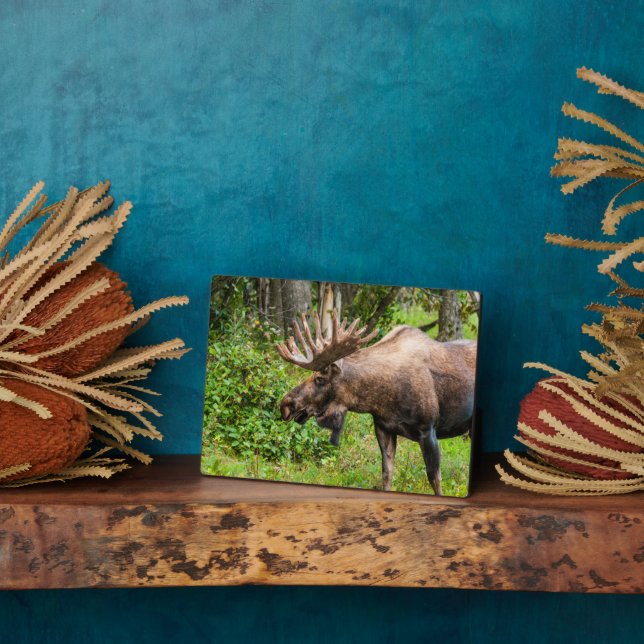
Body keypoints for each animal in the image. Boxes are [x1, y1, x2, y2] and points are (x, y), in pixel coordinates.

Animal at [276, 310, 477, 495]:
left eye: (319, 378)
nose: (285, 404)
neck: (379, 398)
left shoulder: (428, 429)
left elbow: (435, 479)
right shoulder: (383, 428)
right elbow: (386, 474)